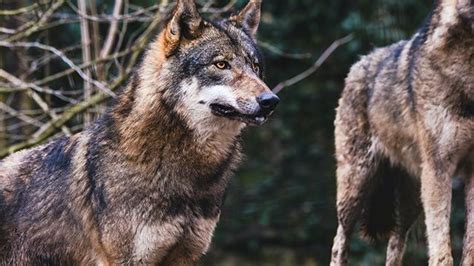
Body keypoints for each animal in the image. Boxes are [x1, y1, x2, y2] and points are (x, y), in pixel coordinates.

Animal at [330, 0, 474, 266]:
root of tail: (357, 64)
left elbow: (469, 246)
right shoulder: (439, 167)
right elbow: (441, 246)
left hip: (412, 198)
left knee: (395, 241)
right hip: (355, 186)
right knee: (339, 241)